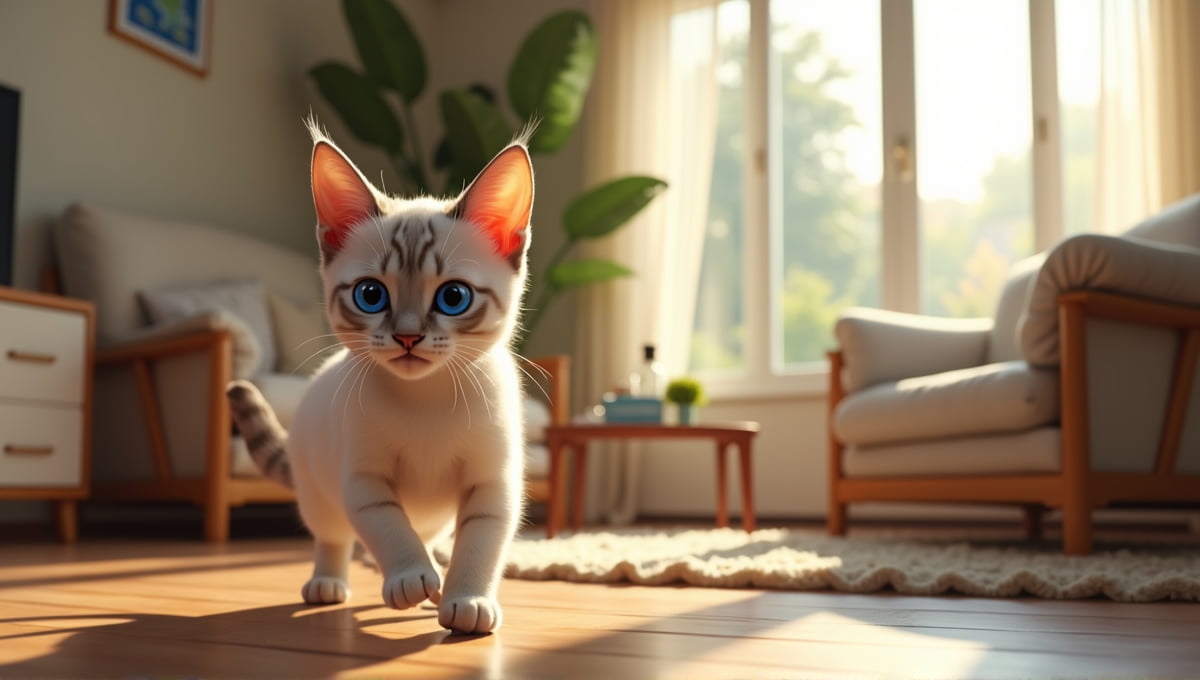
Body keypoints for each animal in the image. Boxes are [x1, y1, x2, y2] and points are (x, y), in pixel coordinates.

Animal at [228, 125, 535, 638]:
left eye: (454, 297)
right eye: (370, 295)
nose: (408, 336)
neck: (427, 399)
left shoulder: (492, 481)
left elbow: (480, 543)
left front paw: (465, 599)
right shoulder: (363, 480)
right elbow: (389, 529)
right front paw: (409, 576)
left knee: (427, 531)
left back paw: (436, 584)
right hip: (319, 492)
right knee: (333, 537)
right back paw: (329, 583)